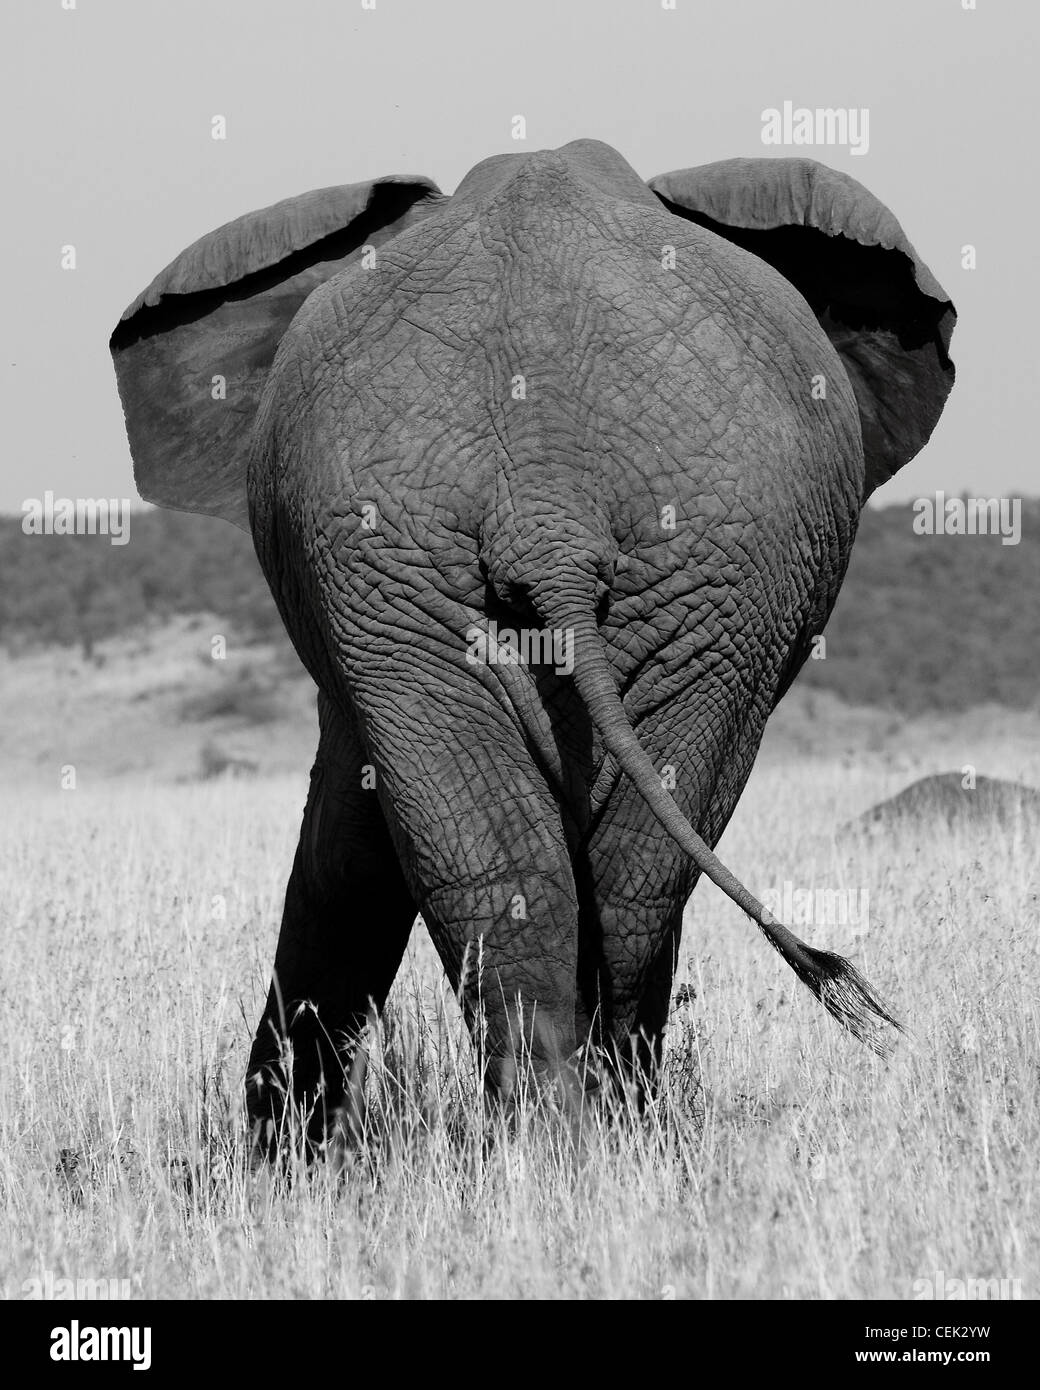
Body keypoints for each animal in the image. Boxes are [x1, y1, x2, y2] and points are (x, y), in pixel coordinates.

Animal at [107, 138, 956, 1139]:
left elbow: (350, 847)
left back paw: (573, 1139)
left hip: (687, 572)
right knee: (597, 869)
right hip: (490, 564)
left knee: (571, 869)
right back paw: (583, 1139)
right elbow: (352, 844)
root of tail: (545, 507)